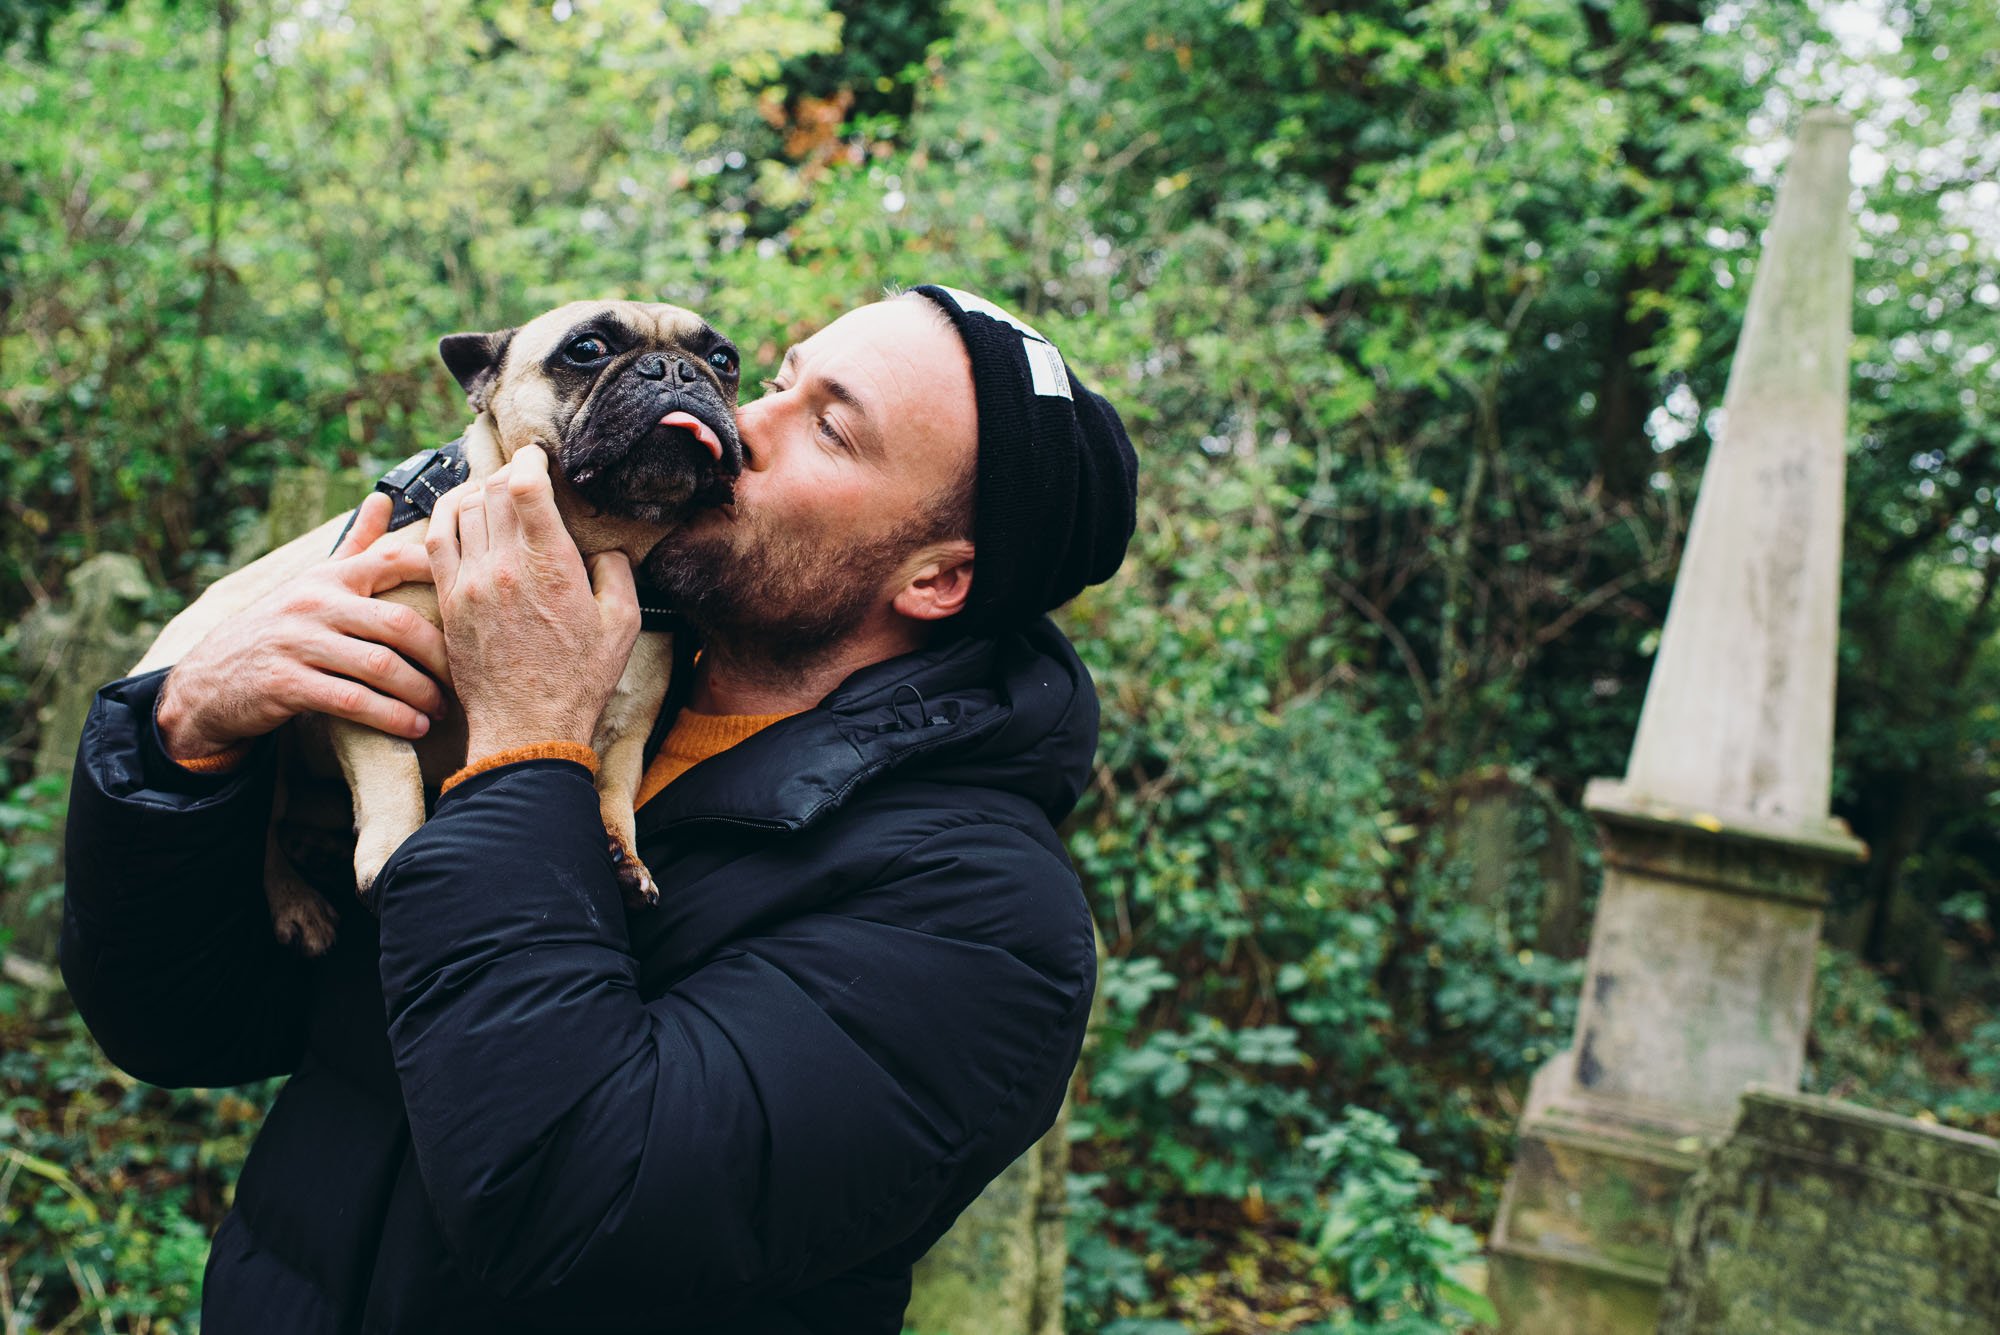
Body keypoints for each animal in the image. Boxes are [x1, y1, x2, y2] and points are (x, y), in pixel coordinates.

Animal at [135, 297, 744, 955]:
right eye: (587, 349)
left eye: (723, 360)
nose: (676, 370)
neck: (584, 549)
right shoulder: (370, 670)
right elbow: (393, 769)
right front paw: (395, 855)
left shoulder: (625, 728)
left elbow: (611, 791)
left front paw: (621, 858)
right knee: (265, 828)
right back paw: (296, 902)